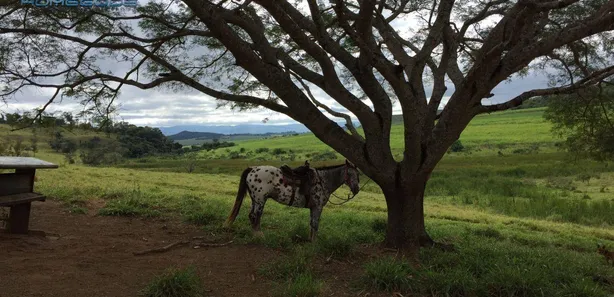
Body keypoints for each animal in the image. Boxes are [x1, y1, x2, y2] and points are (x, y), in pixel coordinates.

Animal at [225, 160, 360, 240]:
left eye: (358, 174)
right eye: (350, 173)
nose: (357, 189)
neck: (322, 181)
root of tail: (252, 169)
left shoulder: (313, 208)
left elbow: (312, 224)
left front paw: (310, 240)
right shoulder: (317, 207)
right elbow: (315, 224)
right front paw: (314, 243)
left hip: (255, 199)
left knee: (251, 215)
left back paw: (254, 234)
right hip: (260, 200)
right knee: (255, 216)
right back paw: (259, 235)